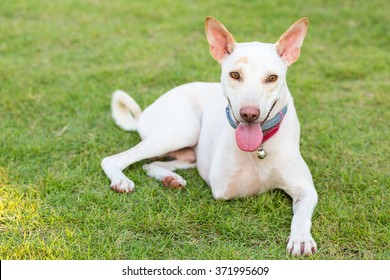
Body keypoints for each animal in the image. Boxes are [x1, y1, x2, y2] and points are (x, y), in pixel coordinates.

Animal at [102, 16, 318, 255]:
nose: (249, 114)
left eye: (272, 78)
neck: (261, 147)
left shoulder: (306, 189)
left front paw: (301, 238)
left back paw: (170, 178)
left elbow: (302, 216)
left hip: (187, 152)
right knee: (114, 159)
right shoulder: (223, 187)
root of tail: (144, 114)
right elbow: (255, 185)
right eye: (235, 75)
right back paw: (121, 180)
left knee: (153, 164)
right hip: (183, 128)